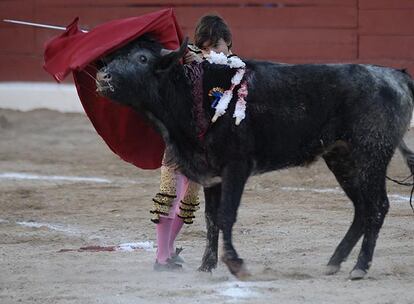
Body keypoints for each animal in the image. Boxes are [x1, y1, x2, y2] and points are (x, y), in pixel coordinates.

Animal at [94, 36, 414, 280]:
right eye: (115, 56)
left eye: (142, 58)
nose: (103, 76)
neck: (193, 94)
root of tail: (396, 75)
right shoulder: (211, 173)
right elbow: (211, 219)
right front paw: (206, 266)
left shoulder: (237, 166)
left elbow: (226, 215)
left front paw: (235, 264)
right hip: (341, 158)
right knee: (361, 208)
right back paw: (334, 262)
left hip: (371, 154)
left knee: (377, 206)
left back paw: (360, 267)